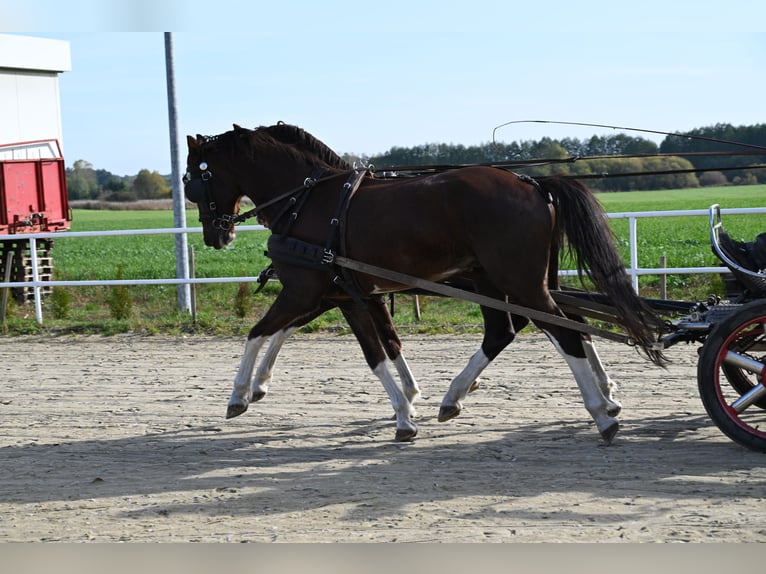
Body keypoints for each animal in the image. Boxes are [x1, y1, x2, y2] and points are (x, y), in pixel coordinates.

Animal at [184, 122, 665, 444]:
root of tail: (531, 181)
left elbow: (262, 331)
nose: (215, 235)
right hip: (504, 281)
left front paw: (240, 393)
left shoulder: (306, 290)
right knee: (538, 326)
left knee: (560, 330)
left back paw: (601, 414)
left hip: (517, 282)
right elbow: (383, 347)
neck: (309, 201)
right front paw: (408, 403)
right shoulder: (350, 295)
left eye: (193, 178)